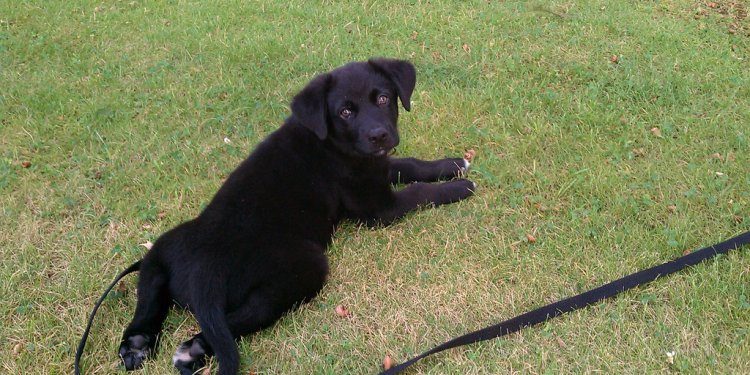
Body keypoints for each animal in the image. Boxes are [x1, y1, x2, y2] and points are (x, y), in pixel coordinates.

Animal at [86, 57, 476, 374]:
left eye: (382, 98)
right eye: (345, 112)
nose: (379, 135)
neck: (328, 140)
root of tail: (203, 275)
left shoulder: (375, 168)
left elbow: (408, 165)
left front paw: (452, 164)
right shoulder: (378, 206)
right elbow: (418, 192)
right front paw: (460, 186)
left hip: (161, 250)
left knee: (149, 296)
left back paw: (138, 344)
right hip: (303, 268)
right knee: (239, 319)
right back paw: (194, 349)